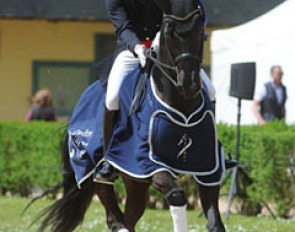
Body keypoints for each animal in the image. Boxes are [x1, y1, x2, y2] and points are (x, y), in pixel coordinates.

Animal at [35, 0, 225, 232]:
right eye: (169, 30)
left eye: (200, 29)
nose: (188, 84)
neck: (181, 105)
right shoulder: (147, 162)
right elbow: (177, 195)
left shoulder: (209, 168)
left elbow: (215, 222)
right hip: (98, 171)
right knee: (114, 218)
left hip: (136, 182)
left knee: (129, 218)